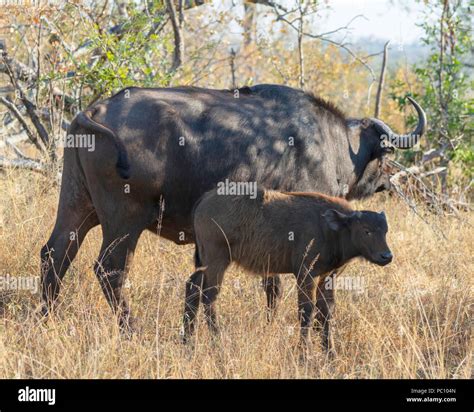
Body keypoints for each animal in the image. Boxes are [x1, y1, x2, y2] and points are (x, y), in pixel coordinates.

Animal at [39, 82, 426, 330]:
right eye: (384, 154)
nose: (387, 179)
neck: (333, 145)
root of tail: (95, 110)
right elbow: (288, 291)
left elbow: (272, 286)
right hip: (125, 221)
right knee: (110, 271)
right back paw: (131, 330)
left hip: (76, 208)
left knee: (54, 256)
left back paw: (45, 318)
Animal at [181, 188, 392, 350]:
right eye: (366, 230)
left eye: (385, 230)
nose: (387, 256)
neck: (331, 229)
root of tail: (205, 198)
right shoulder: (306, 275)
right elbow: (306, 311)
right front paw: (304, 354)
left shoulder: (327, 277)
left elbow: (326, 312)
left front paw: (329, 353)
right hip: (216, 262)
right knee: (209, 297)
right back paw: (218, 343)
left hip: (204, 263)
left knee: (192, 288)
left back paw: (187, 341)